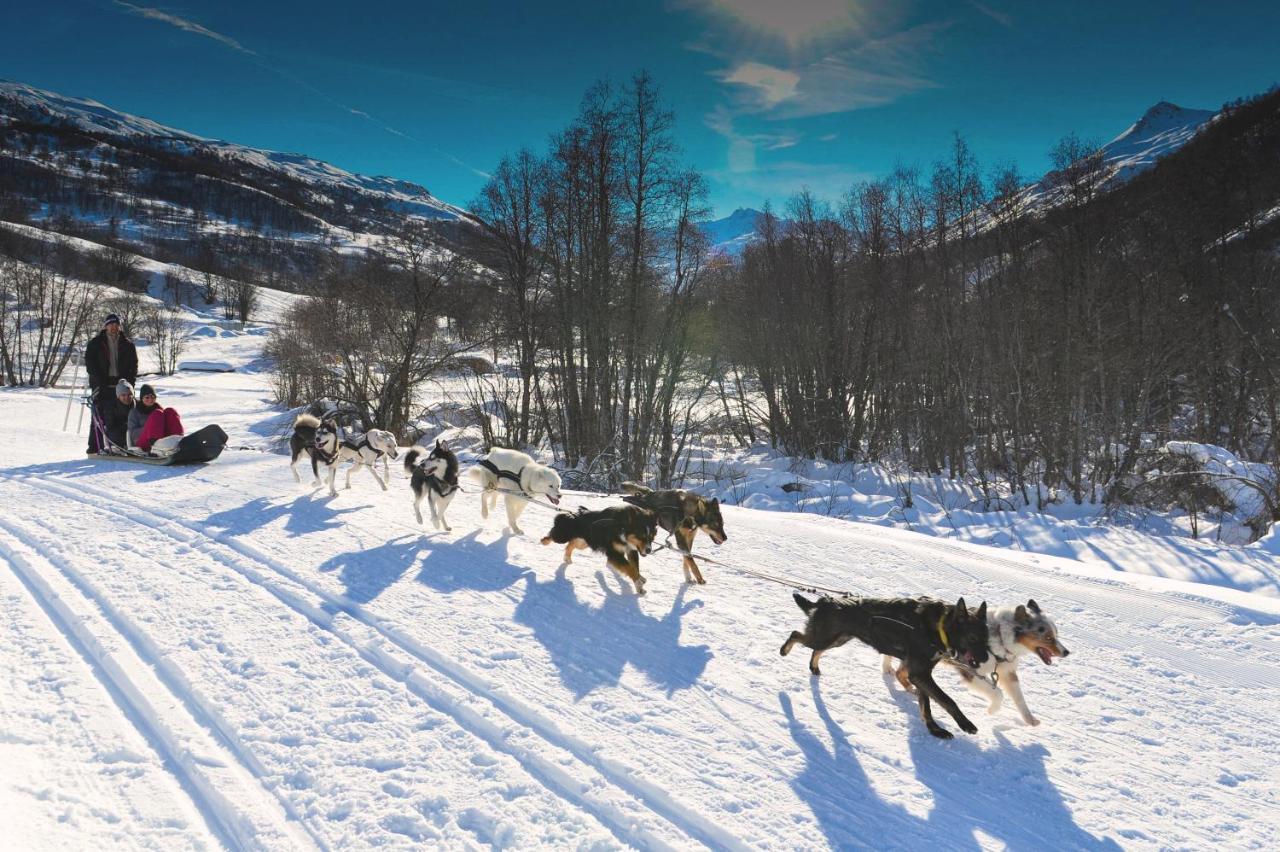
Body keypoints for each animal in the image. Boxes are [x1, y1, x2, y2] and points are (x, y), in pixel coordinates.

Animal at [778, 591, 988, 736]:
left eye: (986, 639)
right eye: (973, 637)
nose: (986, 659)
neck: (939, 626)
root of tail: (825, 602)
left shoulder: (920, 674)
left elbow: (926, 704)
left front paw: (934, 729)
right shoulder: (920, 674)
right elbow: (947, 700)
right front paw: (964, 724)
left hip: (837, 639)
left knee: (815, 650)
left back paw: (814, 667)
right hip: (824, 638)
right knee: (796, 635)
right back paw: (784, 650)